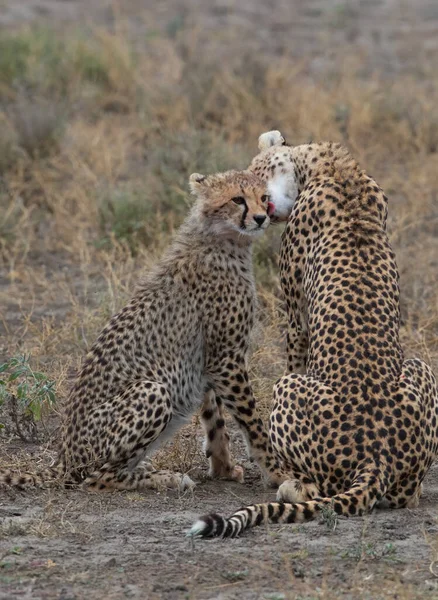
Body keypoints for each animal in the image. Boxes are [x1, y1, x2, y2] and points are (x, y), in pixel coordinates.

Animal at [0, 169, 286, 492]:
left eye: (263, 197)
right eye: (238, 199)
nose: (261, 218)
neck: (223, 240)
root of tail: (64, 460)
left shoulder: (210, 359)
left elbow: (215, 420)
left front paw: (224, 468)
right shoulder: (227, 358)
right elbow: (252, 420)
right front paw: (280, 473)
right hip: (152, 390)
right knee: (97, 479)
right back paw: (166, 477)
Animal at [189, 129, 438, 536]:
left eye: (259, 179)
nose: (264, 209)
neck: (336, 169)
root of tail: (377, 458)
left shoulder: (295, 318)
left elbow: (295, 356)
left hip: (286, 390)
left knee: (314, 488)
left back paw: (290, 484)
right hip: (421, 368)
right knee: (409, 495)